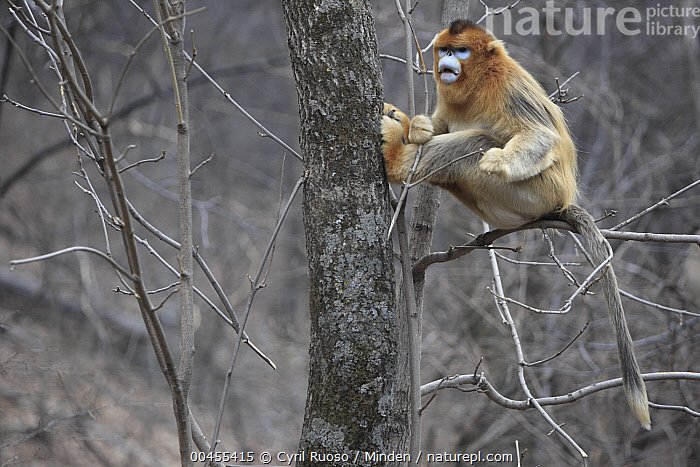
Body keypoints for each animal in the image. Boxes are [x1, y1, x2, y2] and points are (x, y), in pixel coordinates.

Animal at [381, 19, 651, 429]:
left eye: (461, 51)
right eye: (445, 50)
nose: (446, 62)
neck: (476, 82)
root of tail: (560, 202)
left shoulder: (505, 86)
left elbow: (540, 135)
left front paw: (497, 160)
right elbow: (440, 124)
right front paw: (420, 127)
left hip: (535, 192)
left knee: (474, 144)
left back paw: (397, 158)